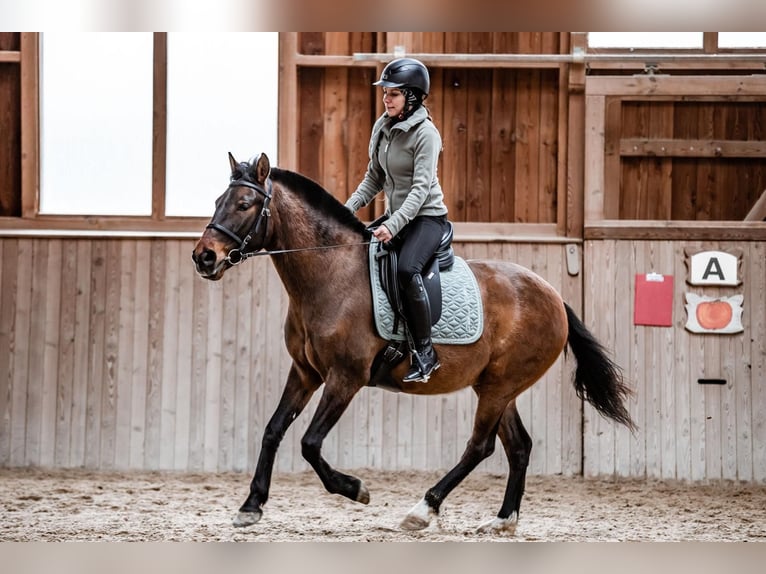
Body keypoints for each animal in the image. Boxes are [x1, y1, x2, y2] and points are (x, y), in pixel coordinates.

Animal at [192, 153, 636, 536]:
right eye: (217, 201)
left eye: (245, 203)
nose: (204, 257)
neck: (330, 273)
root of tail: (553, 295)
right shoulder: (305, 373)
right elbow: (273, 431)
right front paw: (251, 506)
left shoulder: (345, 377)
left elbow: (309, 443)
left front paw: (356, 489)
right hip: (498, 387)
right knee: (519, 447)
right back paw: (502, 521)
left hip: (499, 388)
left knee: (480, 446)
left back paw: (423, 509)